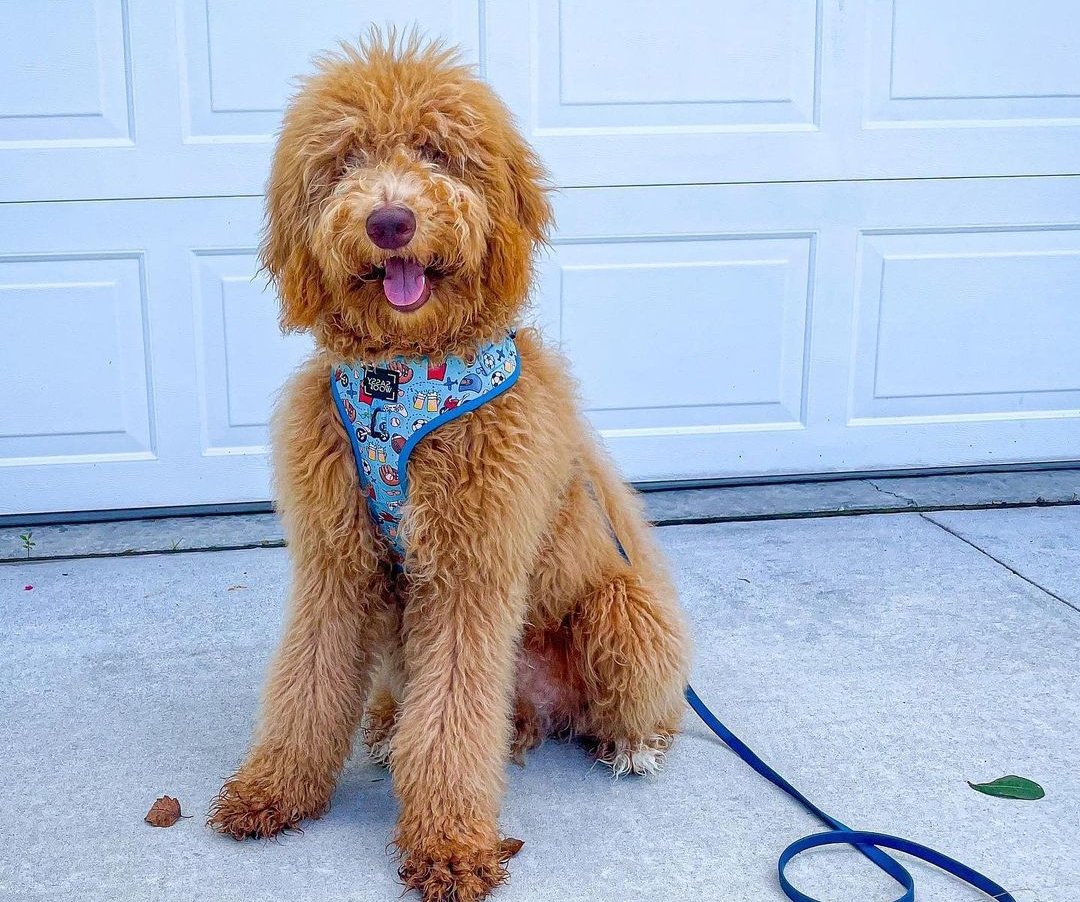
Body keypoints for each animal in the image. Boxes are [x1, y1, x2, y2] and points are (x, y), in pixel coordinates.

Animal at [206, 31, 686, 898]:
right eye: (346, 159)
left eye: (437, 152)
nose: (391, 220)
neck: (406, 377)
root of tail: (537, 710)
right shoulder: (335, 560)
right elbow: (306, 681)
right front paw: (274, 789)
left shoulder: (473, 569)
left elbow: (453, 718)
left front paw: (450, 844)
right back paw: (389, 724)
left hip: (625, 609)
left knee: (625, 701)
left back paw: (633, 744)